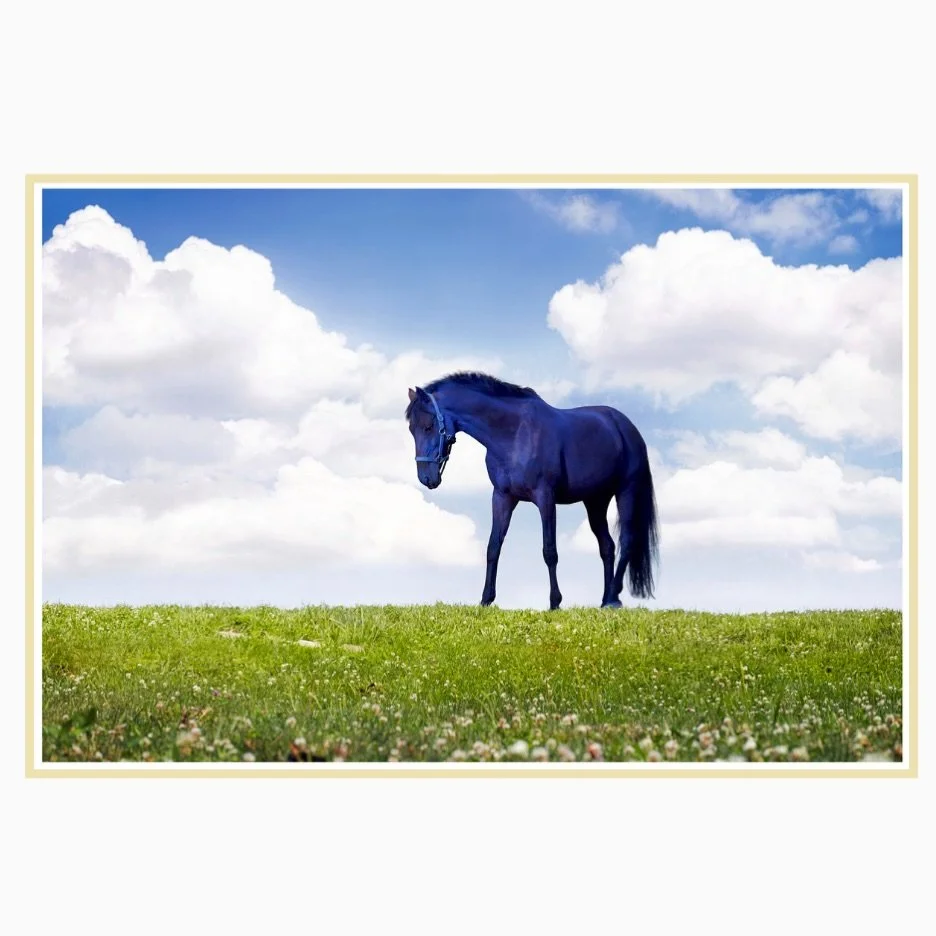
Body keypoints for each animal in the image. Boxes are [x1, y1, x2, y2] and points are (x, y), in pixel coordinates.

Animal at [405, 372, 659, 610]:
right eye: (411, 429)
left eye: (429, 426)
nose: (426, 478)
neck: (515, 433)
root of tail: (626, 426)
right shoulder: (502, 497)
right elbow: (493, 547)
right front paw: (486, 600)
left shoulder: (545, 497)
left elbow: (549, 550)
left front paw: (555, 602)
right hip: (596, 500)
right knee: (607, 546)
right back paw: (606, 600)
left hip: (626, 491)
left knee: (626, 541)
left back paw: (614, 597)